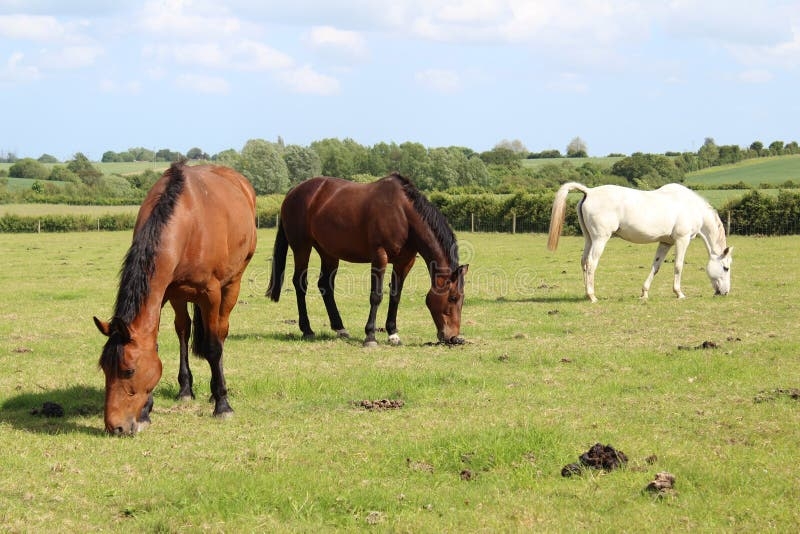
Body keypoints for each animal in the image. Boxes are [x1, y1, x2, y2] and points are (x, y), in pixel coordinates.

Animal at [93, 161, 257, 435]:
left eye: (129, 371)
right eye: (104, 368)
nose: (115, 427)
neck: (188, 221)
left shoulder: (210, 293)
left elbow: (213, 347)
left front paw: (222, 405)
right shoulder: (162, 293)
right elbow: (156, 344)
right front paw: (145, 412)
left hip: (232, 284)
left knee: (221, 331)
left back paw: (215, 392)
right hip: (179, 295)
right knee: (183, 329)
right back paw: (185, 389)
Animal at [267, 172, 468, 347]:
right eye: (453, 297)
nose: (454, 337)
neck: (403, 214)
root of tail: (293, 192)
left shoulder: (404, 262)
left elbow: (395, 295)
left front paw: (393, 333)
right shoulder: (379, 257)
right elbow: (376, 296)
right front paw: (370, 336)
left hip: (328, 252)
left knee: (325, 285)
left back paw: (340, 328)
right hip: (302, 247)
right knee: (300, 283)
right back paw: (307, 329)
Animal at [547, 182, 733, 302]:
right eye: (726, 268)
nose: (725, 292)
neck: (691, 207)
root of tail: (589, 192)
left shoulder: (665, 243)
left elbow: (655, 266)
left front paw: (644, 293)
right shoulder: (682, 240)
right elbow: (678, 266)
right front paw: (679, 293)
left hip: (588, 239)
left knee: (584, 262)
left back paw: (586, 293)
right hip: (600, 239)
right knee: (592, 263)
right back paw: (592, 296)